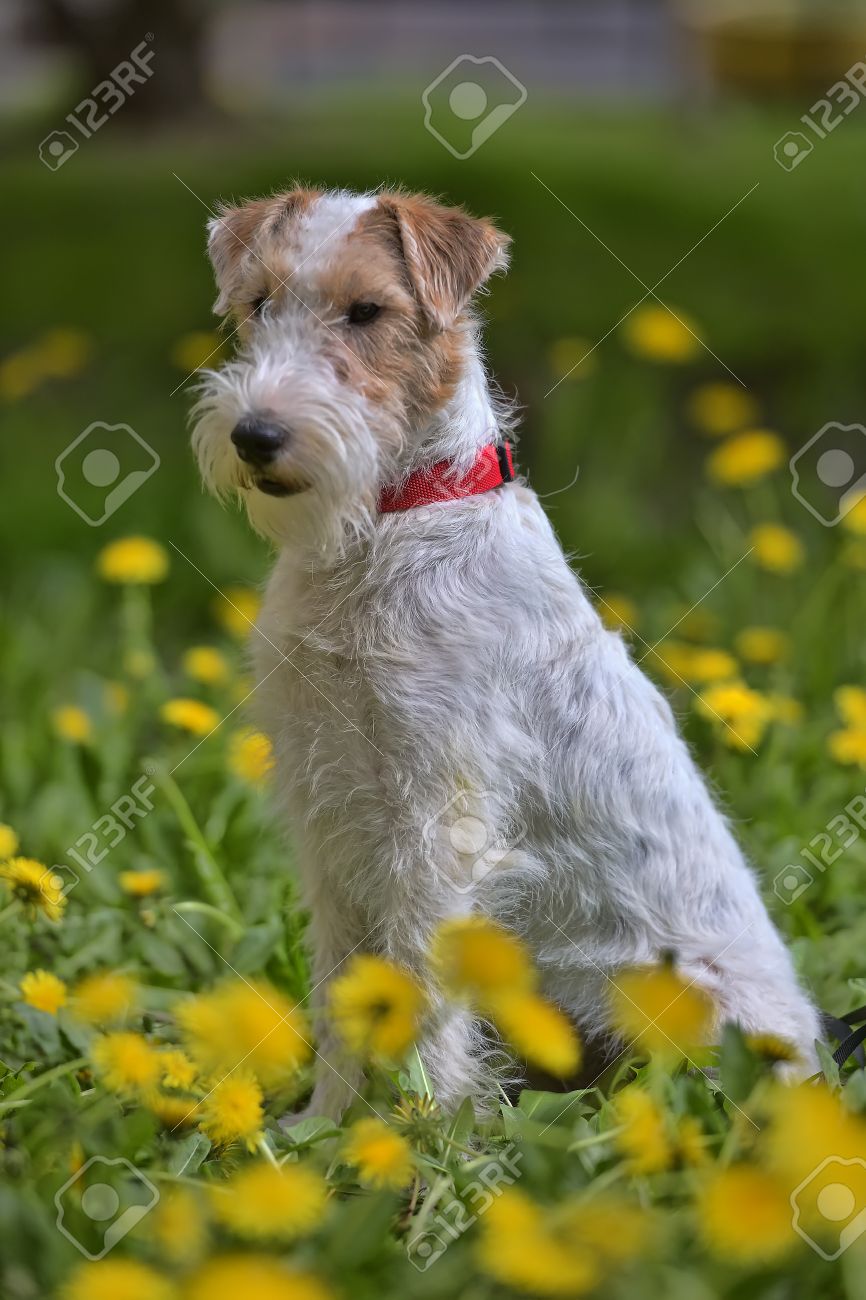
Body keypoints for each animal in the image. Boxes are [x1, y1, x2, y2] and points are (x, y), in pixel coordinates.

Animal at [188, 185, 816, 1118]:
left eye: (367, 311)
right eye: (259, 303)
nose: (256, 436)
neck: (387, 525)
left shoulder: (435, 827)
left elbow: (420, 994)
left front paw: (419, 1130)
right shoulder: (325, 809)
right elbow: (342, 991)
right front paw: (325, 1126)